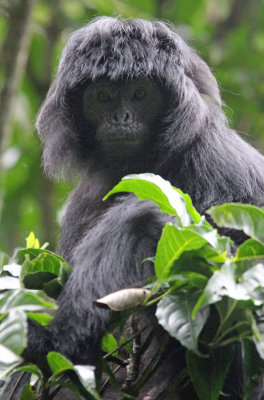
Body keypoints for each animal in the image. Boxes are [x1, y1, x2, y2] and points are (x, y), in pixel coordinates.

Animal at [10, 16, 264, 400]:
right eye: (102, 97)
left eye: (140, 94)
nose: (121, 117)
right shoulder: (85, 198)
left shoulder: (219, 163)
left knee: (142, 217)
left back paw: (59, 343)